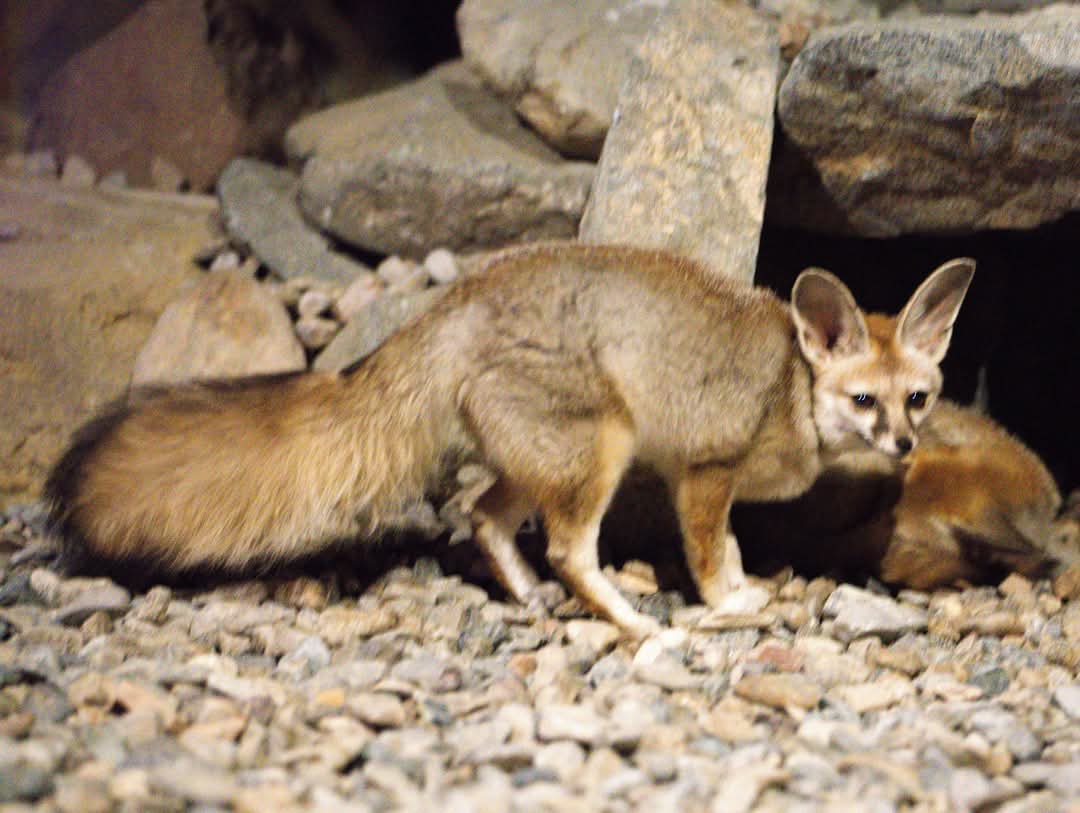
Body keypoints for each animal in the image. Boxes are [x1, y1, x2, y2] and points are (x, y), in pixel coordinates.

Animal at [45, 242, 974, 636]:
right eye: (864, 399)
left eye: (918, 399)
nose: (903, 447)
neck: (794, 385)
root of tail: (452, 306)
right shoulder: (705, 473)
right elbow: (713, 553)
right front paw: (725, 601)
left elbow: (737, 549)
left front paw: (749, 586)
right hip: (601, 450)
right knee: (565, 548)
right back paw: (631, 622)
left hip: (546, 463)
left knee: (482, 516)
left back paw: (527, 598)